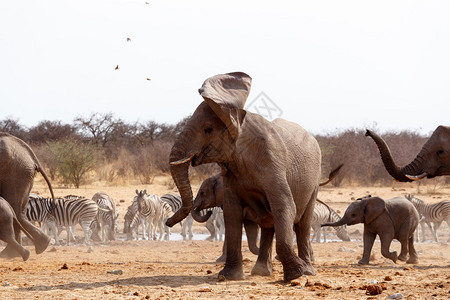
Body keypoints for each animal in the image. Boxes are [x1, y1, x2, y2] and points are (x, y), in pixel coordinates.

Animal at [167, 71, 322, 282]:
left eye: (208, 129)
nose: (167, 222)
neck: (238, 119)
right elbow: (232, 215)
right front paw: (228, 277)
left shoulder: (272, 161)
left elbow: (284, 205)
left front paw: (294, 275)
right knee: (269, 224)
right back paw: (261, 272)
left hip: (314, 181)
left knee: (302, 225)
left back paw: (307, 271)